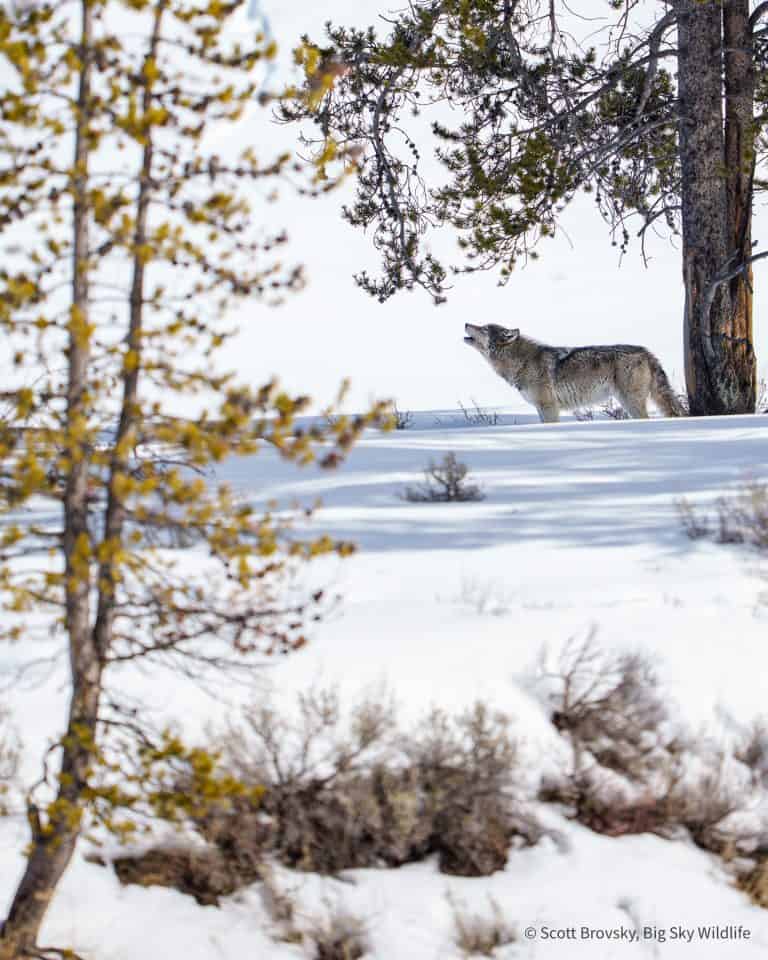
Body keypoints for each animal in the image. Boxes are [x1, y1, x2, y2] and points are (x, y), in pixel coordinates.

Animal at [463, 323, 684, 422]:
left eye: (484, 329)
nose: (466, 323)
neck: (521, 362)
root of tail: (646, 352)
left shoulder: (549, 407)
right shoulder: (540, 408)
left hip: (631, 401)